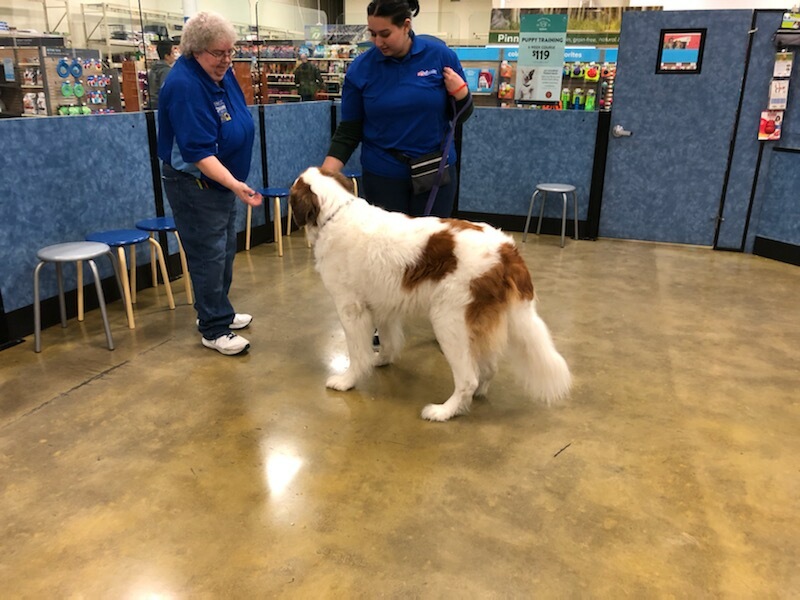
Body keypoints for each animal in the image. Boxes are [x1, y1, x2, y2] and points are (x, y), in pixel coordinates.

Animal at [289, 167, 571, 421]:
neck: (335, 213)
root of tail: (507, 251)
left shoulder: (350, 309)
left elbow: (357, 353)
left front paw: (347, 380)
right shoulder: (384, 304)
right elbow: (389, 340)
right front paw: (382, 360)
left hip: (448, 321)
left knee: (468, 378)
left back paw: (444, 411)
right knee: (488, 368)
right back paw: (475, 394)